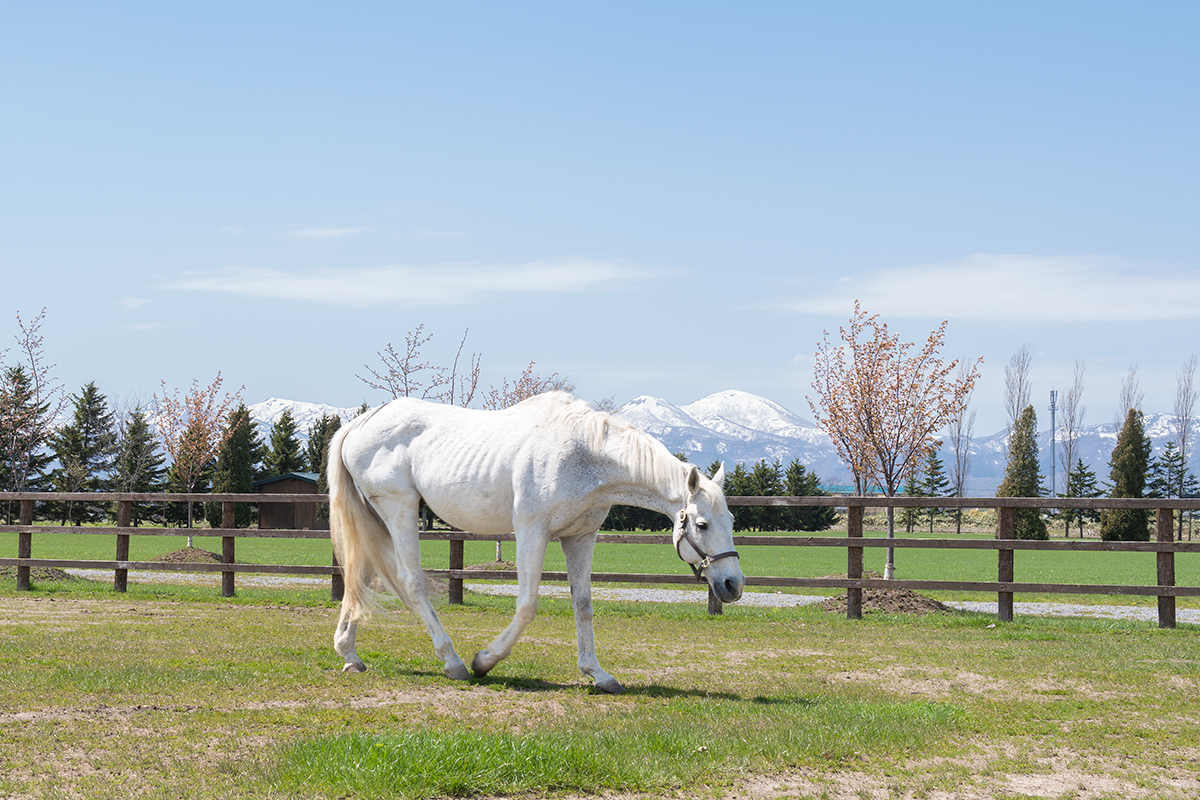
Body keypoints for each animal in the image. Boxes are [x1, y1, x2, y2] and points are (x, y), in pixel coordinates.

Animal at [328, 391, 739, 690]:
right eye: (702, 524)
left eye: (732, 520)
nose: (733, 584)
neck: (583, 454)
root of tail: (362, 423)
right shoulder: (532, 532)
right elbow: (527, 605)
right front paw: (485, 660)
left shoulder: (580, 537)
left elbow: (583, 604)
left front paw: (597, 673)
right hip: (399, 509)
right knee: (411, 582)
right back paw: (454, 662)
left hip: (376, 518)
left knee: (360, 575)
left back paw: (349, 653)